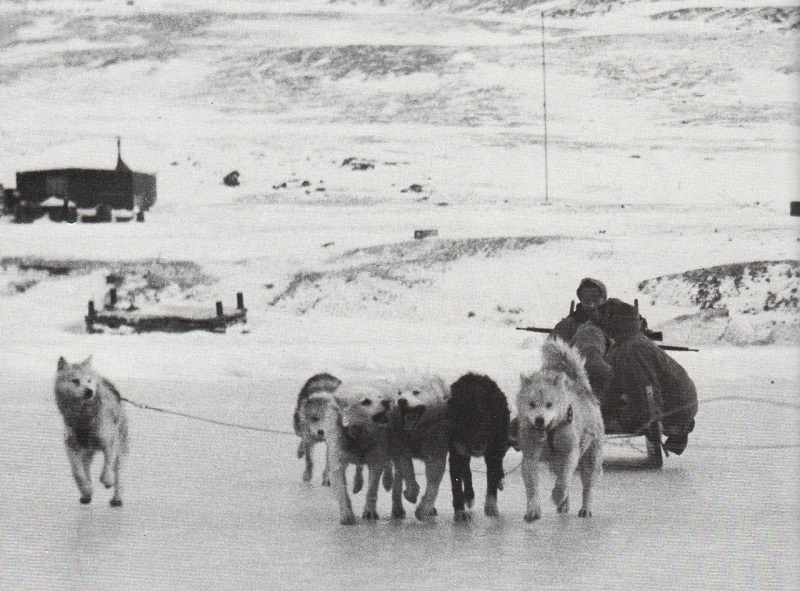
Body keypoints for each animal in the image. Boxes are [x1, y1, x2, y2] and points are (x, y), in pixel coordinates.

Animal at [54, 358, 128, 506]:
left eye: (89, 380)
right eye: (75, 380)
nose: (89, 391)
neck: (84, 417)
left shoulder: (109, 442)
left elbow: (108, 464)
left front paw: (107, 480)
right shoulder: (72, 445)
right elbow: (78, 472)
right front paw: (86, 489)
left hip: (120, 447)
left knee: (118, 471)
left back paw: (116, 497)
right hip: (86, 452)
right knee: (85, 466)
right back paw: (86, 494)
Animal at [324, 384, 396, 528]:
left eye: (380, 397)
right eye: (365, 401)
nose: (386, 402)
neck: (358, 435)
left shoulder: (376, 458)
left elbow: (372, 488)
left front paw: (370, 511)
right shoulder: (338, 460)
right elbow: (341, 490)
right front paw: (346, 514)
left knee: (386, 463)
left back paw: (387, 480)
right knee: (358, 467)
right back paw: (357, 483)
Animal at [390, 374, 450, 524]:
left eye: (416, 392)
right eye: (399, 392)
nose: (402, 401)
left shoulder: (436, 439)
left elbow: (434, 475)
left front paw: (423, 510)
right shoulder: (401, 438)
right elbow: (405, 465)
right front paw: (411, 494)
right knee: (398, 473)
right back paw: (397, 508)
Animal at [446, 374, 510, 524]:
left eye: (486, 422)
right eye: (464, 423)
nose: (478, 446)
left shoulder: (493, 449)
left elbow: (492, 476)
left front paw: (491, 506)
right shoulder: (456, 452)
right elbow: (456, 485)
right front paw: (460, 511)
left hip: (501, 441)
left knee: (498, 465)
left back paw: (500, 480)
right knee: (466, 470)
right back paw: (469, 496)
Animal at [516, 340, 604, 520]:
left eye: (549, 404)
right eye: (532, 404)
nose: (539, 420)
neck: (550, 432)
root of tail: (580, 385)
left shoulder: (570, 452)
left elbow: (564, 480)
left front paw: (557, 495)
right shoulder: (530, 456)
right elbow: (532, 486)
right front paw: (533, 509)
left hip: (591, 457)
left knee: (587, 485)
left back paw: (585, 507)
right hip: (556, 461)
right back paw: (564, 504)